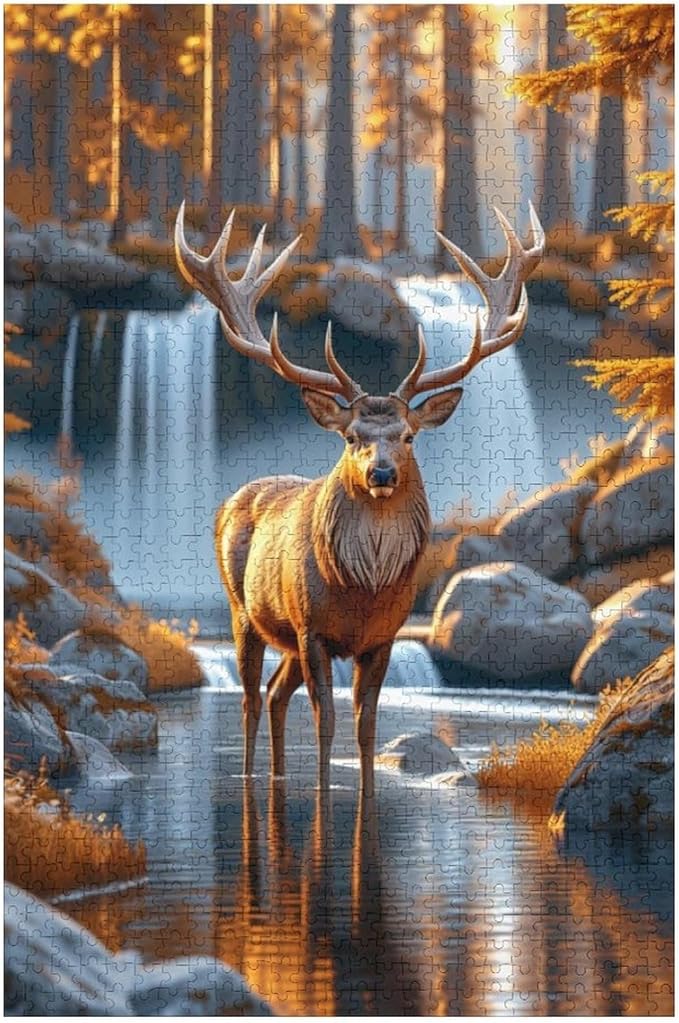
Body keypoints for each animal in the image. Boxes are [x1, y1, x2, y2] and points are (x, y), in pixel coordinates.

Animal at [175, 202, 544, 794]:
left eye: (409, 435)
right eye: (351, 438)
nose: (381, 472)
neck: (364, 585)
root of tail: (230, 500)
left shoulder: (383, 636)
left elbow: (366, 722)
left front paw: (367, 790)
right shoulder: (312, 627)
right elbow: (326, 718)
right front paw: (325, 791)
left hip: (285, 638)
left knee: (276, 694)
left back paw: (279, 777)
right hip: (245, 611)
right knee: (252, 698)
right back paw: (253, 777)